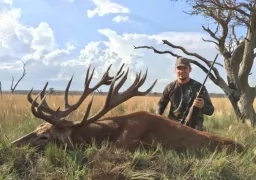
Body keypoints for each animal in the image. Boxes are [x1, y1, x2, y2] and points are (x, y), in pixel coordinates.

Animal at [11, 63, 244, 153]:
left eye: (44, 137)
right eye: (36, 129)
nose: (12, 144)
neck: (108, 133)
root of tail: (243, 147)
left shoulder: (131, 144)